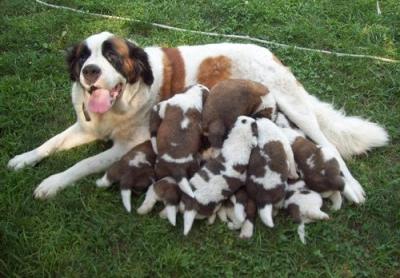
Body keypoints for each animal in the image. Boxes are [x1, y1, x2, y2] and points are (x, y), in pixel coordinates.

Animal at [7, 31, 388, 203]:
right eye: (84, 56)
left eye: (112, 56)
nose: (89, 71)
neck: (126, 99)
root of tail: (270, 52)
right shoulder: (85, 125)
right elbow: (50, 142)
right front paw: (24, 159)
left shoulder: (125, 148)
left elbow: (81, 164)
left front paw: (52, 182)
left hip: (295, 106)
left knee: (328, 145)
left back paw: (351, 186)